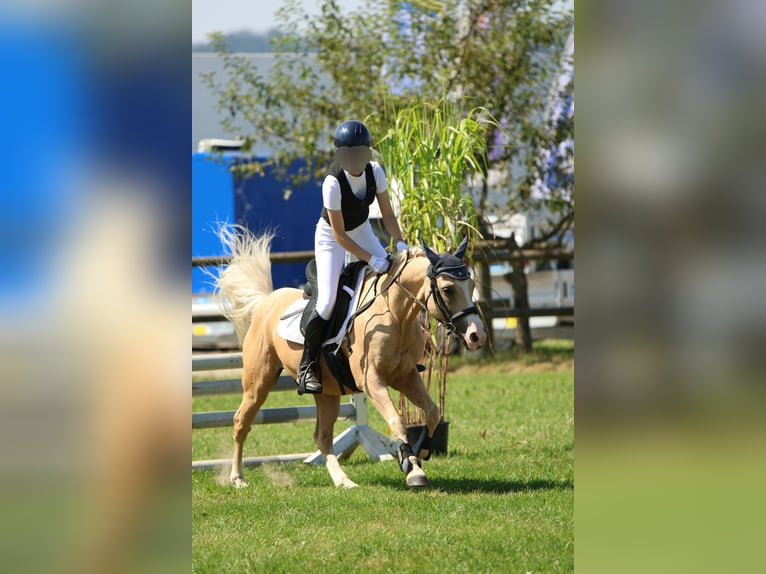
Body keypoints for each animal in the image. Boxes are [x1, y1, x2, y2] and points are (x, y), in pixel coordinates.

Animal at [215, 226, 487, 489]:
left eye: (473, 286)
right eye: (448, 289)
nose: (477, 336)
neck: (395, 315)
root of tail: (266, 302)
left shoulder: (406, 377)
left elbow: (432, 412)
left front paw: (420, 454)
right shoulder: (372, 380)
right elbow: (398, 420)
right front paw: (413, 471)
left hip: (327, 392)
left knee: (322, 436)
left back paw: (343, 480)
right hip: (258, 381)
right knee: (241, 421)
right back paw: (237, 478)